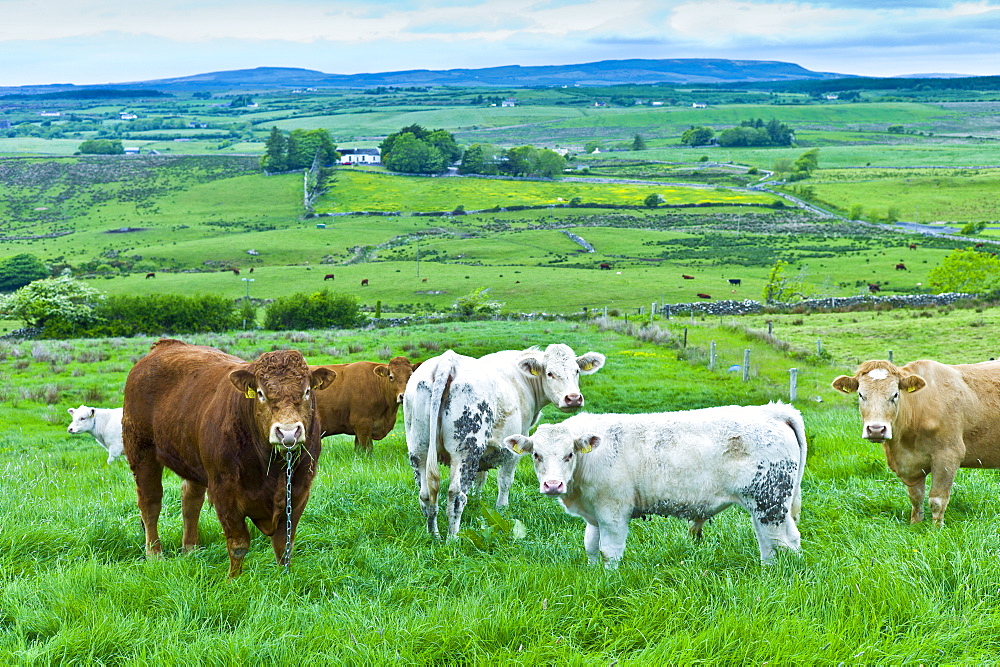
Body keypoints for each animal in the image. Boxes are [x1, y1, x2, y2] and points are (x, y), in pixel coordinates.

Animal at [122, 340, 334, 580]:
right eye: (260, 393)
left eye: (307, 391)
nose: (288, 432)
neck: (273, 468)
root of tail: (164, 346)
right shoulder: (224, 492)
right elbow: (238, 543)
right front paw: (234, 579)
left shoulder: (299, 490)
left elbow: (284, 543)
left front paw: (284, 576)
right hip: (141, 452)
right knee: (150, 503)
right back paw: (155, 554)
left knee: (190, 501)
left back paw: (190, 549)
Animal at [402, 344, 604, 536]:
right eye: (550, 373)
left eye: (576, 371)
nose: (573, 399)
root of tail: (447, 360)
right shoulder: (513, 448)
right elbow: (505, 480)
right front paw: (502, 509)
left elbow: (480, 479)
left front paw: (477, 501)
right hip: (466, 449)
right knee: (456, 495)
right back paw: (453, 538)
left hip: (419, 449)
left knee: (426, 494)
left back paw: (433, 535)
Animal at [504, 402, 808, 568]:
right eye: (536, 455)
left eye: (569, 454)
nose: (552, 485)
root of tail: (772, 411)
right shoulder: (593, 514)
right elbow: (590, 545)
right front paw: (592, 573)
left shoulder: (613, 511)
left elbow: (609, 550)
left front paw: (608, 579)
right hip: (768, 505)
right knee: (774, 542)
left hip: (769, 501)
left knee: (783, 541)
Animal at [832, 360, 1000, 528]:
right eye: (861, 395)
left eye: (895, 394)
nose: (876, 430)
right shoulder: (913, 464)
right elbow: (916, 497)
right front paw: (915, 524)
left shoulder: (949, 455)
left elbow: (937, 500)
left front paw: (936, 529)